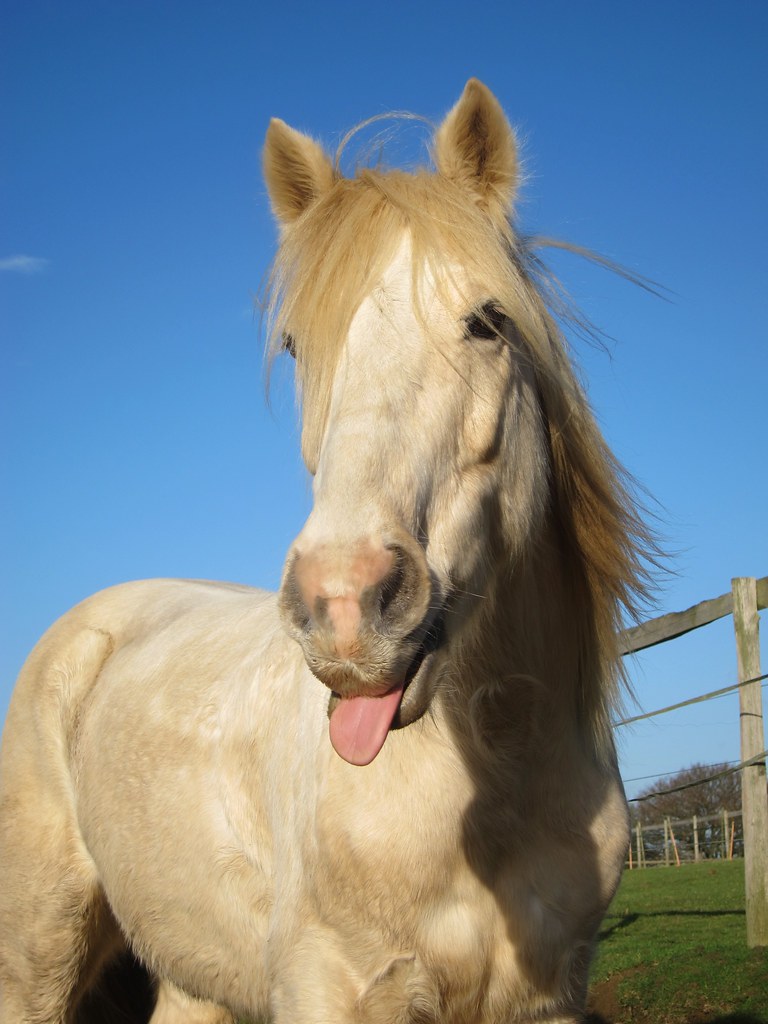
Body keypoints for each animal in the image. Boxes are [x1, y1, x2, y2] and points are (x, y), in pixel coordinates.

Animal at [0, 79, 651, 1024]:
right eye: (297, 345)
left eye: (489, 321)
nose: (344, 606)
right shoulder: (329, 987)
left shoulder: (549, 997)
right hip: (38, 946)